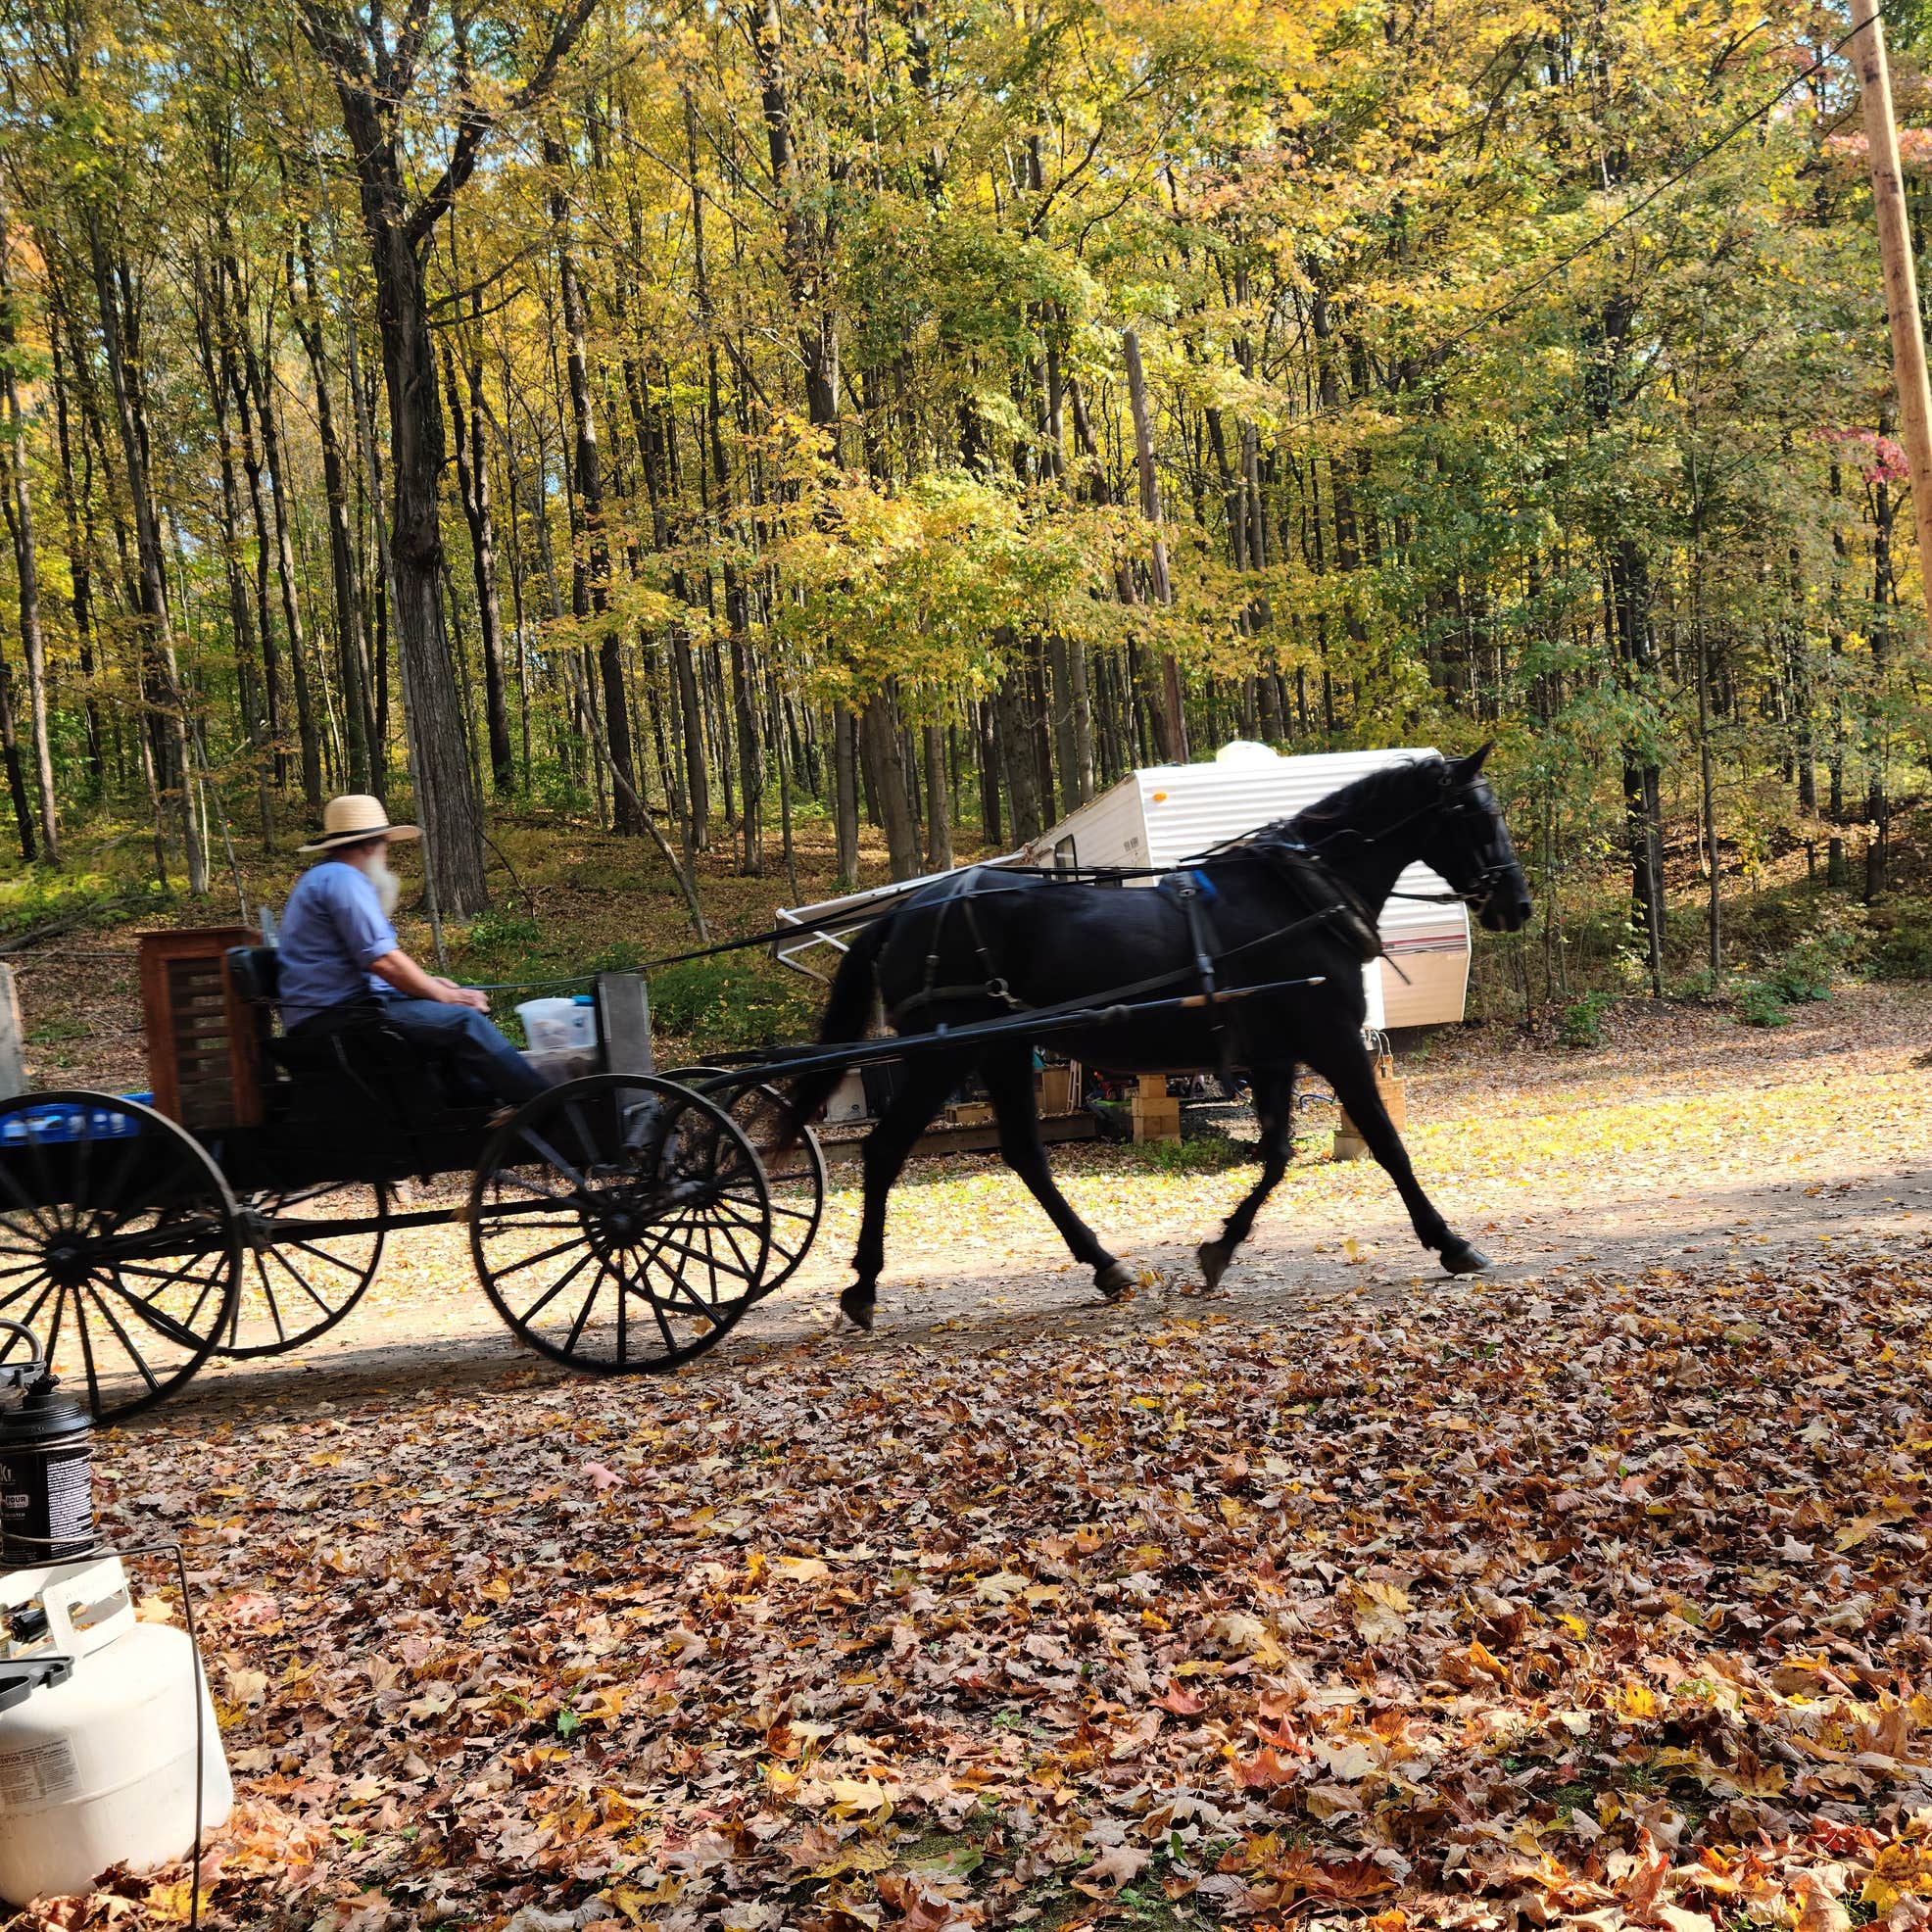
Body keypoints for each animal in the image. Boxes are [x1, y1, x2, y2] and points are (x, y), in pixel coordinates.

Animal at [776, 742, 1529, 1328]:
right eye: (1477, 815)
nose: (1517, 904)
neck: (1301, 895)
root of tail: (906, 912)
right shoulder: (1334, 1043)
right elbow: (1386, 1145)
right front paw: (1450, 1241)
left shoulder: (1276, 1056)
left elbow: (1277, 1155)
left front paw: (1219, 1249)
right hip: (948, 1053)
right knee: (884, 1151)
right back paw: (863, 1287)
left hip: (1003, 1050)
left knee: (1024, 1155)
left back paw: (1104, 1265)